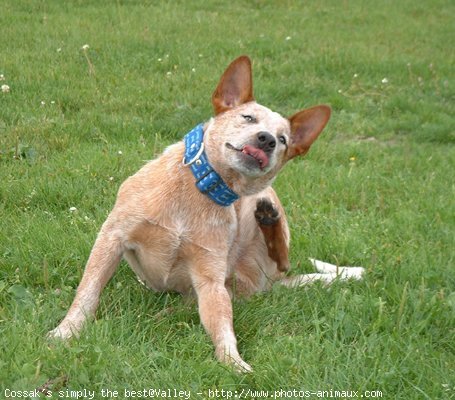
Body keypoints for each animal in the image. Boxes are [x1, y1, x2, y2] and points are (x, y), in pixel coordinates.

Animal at [48, 55, 364, 372]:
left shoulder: (210, 277)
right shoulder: (112, 236)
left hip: (264, 208)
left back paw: (267, 219)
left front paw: (233, 362)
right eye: (248, 118)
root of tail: (268, 284)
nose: (267, 140)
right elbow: (88, 291)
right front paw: (66, 332)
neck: (199, 192)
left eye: (284, 139)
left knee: (283, 259)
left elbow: (222, 325)